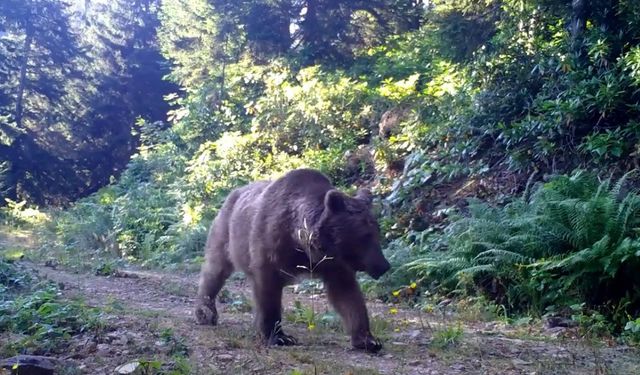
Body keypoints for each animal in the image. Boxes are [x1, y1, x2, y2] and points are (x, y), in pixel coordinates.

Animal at [195, 169, 390, 354]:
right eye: (364, 236)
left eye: (376, 232)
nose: (384, 266)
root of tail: (234, 192)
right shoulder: (270, 246)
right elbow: (268, 291)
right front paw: (279, 336)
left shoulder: (333, 263)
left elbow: (347, 294)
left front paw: (368, 340)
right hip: (226, 231)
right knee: (216, 269)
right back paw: (205, 312)